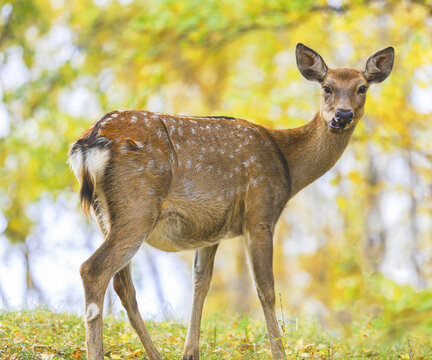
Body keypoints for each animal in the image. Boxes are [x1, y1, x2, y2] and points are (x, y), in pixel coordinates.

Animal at [68, 43, 394, 358]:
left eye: (362, 87)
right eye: (327, 87)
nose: (342, 115)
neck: (287, 165)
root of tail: (89, 142)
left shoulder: (211, 228)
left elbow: (201, 283)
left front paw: (190, 352)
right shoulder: (260, 211)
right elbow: (265, 289)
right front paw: (279, 353)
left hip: (107, 216)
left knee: (123, 284)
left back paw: (155, 354)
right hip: (138, 207)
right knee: (93, 269)